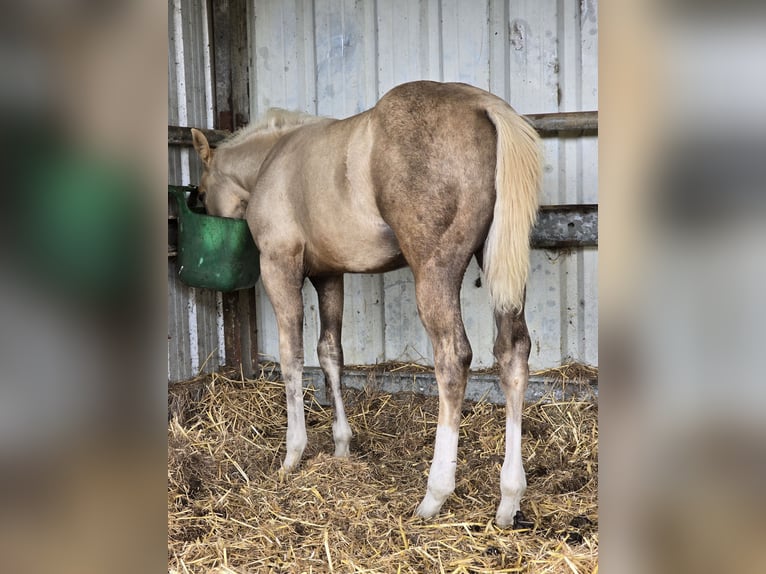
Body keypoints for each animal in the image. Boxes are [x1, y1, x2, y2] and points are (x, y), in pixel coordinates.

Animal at [190, 80, 542, 528]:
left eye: (201, 192)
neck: (274, 160)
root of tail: (484, 105)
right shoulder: (329, 275)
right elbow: (329, 353)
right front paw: (341, 446)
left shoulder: (279, 265)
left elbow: (291, 357)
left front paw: (292, 454)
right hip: (500, 266)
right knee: (513, 354)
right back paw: (509, 499)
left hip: (435, 272)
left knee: (452, 359)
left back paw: (434, 496)